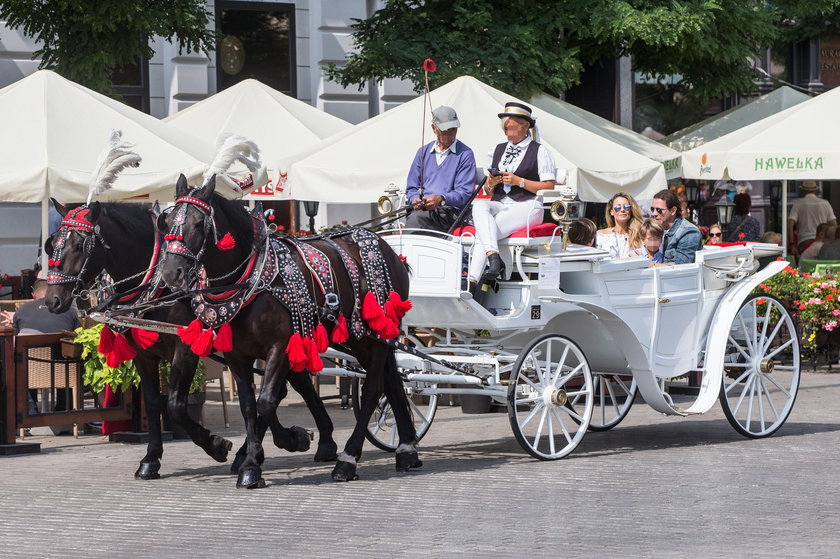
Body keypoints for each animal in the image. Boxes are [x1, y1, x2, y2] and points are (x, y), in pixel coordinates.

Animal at [44, 198, 336, 482]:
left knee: (281, 391)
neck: (158, 286)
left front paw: (217, 445)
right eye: (52, 243)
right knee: (294, 385)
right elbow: (154, 404)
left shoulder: (185, 350)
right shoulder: (143, 355)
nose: (52, 300)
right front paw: (150, 460)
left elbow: (175, 405)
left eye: (79, 245)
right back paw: (307, 442)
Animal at [158, 177, 420, 488]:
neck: (254, 278)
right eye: (167, 221)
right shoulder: (237, 355)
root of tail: (391, 250)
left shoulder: (280, 347)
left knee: (372, 389)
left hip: (371, 335)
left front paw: (290, 442)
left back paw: (348, 459)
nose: (171, 273)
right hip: (365, 337)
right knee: (392, 382)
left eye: (199, 223)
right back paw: (406, 450)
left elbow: (268, 402)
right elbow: (249, 406)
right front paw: (251, 461)